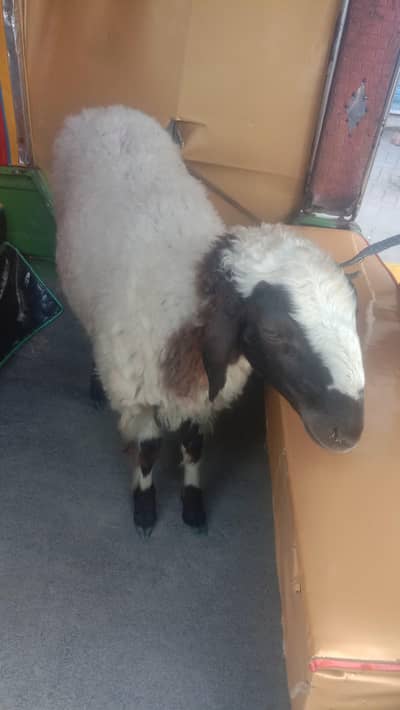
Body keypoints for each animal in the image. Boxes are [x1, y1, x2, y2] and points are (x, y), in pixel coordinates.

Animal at [52, 105, 365, 534]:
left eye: (354, 315)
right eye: (273, 332)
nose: (348, 432)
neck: (193, 293)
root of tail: (106, 110)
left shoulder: (202, 397)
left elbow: (193, 445)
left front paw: (192, 504)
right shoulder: (138, 393)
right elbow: (148, 450)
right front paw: (145, 507)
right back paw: (96, 386)